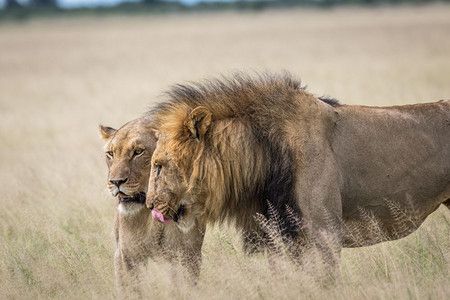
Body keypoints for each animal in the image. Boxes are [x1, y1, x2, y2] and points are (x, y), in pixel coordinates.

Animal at [99, 116, 205, 296]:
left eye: (138, 152)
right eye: (110, 154)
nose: (115, 182)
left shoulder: (188, 254)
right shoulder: (129, 256)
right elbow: (134, 290)